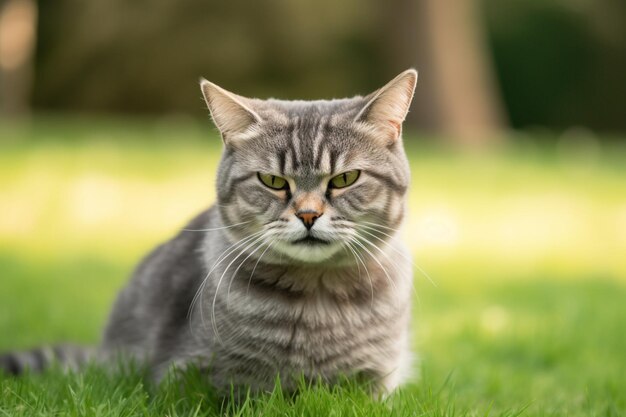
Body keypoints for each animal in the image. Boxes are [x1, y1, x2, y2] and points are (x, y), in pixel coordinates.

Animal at [2, 68, 420, 394]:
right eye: (273, 181)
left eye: (345, 179)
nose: (307, 214)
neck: (316, 303)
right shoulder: (195, 375)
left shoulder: (375, 381)